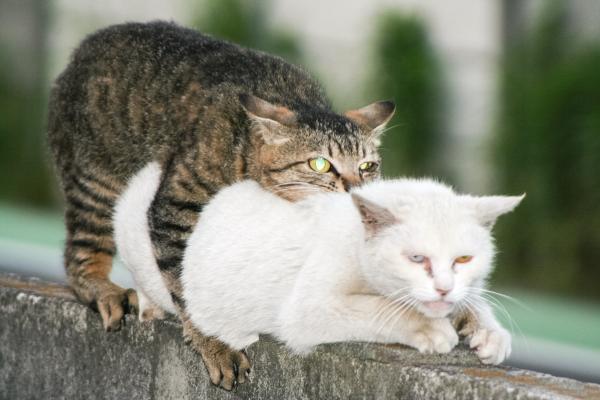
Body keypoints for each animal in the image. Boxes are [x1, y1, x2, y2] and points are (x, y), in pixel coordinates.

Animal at [45, 20, 394, 390]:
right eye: (320, 164)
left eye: (367, 166)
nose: (355, 188)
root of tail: (80, 51)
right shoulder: (175, 208)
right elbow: (188, 285)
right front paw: (216, 345)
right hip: (96, 180)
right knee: (79, 252)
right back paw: (102, 290)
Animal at [112, 161, 520, 364]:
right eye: (416, 258)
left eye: (464, 258)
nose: (443, 288)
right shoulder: (309, 308)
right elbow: (379, 309)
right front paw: (432, 329)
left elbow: (472, 302)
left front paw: (488, 331)